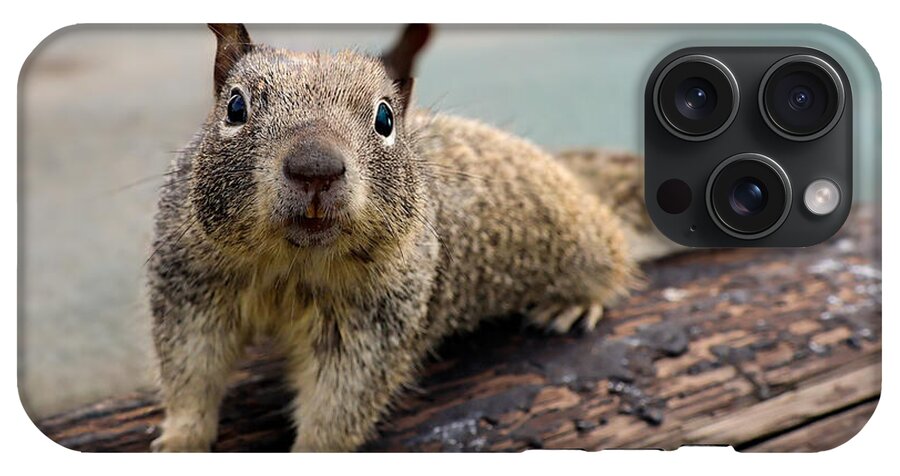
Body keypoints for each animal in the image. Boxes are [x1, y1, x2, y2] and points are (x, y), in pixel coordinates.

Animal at [149, 24, 676, 452]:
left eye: (385, 119)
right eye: (235, 107)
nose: (316, 168)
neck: (292, 265)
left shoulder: (374, 322)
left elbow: (340, 402)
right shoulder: (191, 286)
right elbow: (190, 371)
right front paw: (180, 440)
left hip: (583, 241)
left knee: (614, 256)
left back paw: (574, 302)